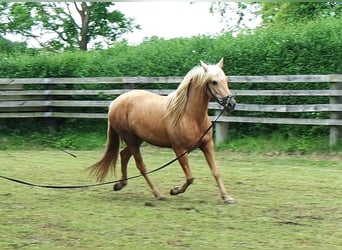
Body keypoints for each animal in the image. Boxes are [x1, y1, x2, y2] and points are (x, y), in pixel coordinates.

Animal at [88, 58, 236, 203]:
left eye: (226, 79)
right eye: (214, 82)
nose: (231, 104)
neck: (189, 117)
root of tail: (115, 102)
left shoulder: (207, 145)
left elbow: (216, 172)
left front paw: (227, 197)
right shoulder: (179, 150)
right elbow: (190, 178)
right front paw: (174, 190)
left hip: (137, 139)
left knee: (124, 155)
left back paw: (120, 185)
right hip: (130, 139)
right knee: (141, 166)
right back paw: (158, 194)